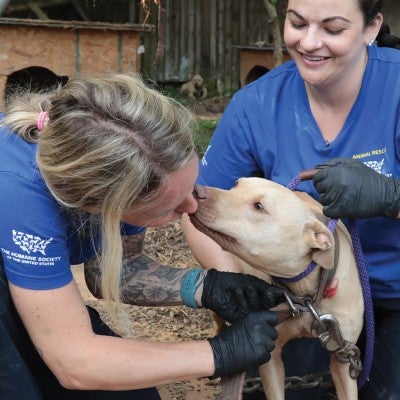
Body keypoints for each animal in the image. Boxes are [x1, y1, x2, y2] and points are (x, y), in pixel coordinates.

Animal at [189, 178, 364, 400]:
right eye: (236, 184)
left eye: (258, 206)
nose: (197, 191)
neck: (304, 295)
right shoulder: (269, 354)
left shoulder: (344, 356)